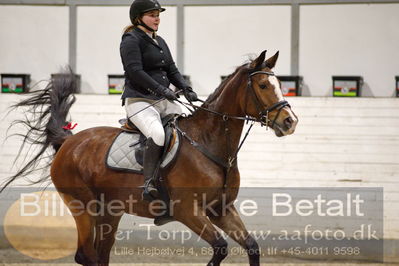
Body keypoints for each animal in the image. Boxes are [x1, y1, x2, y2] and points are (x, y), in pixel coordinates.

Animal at [2, 50, 296, 266]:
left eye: (281, 85)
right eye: (262, 85)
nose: (290, 121)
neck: (208, 142)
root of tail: (69, 142)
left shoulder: (221, 209)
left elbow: (252, 247)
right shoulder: (188, 211)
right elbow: (221, 248)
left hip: (110, 210)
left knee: (100, 253)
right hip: (83, 207)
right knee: (86, 255)